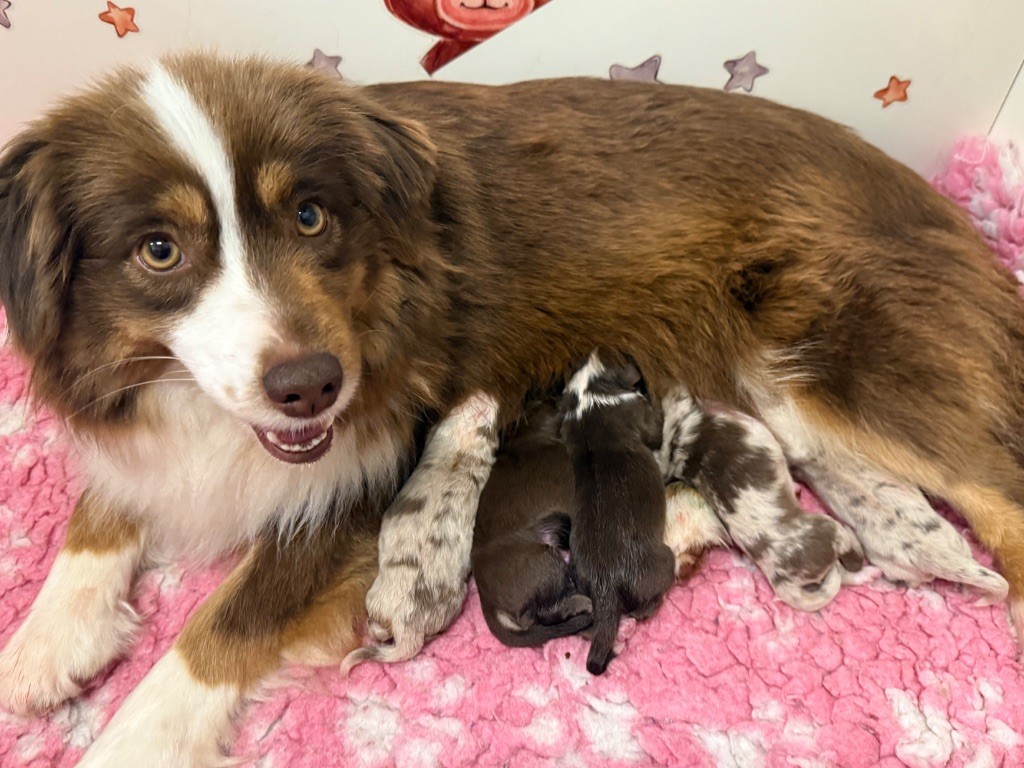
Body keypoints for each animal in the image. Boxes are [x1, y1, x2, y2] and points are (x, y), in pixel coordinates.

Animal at [344, 393, 499, 671]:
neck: (462, 448)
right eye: (487, 427)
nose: (487, 396)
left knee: (379, 630)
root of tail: (408, 626)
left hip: (377, 600)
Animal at [557, 352, 675, 675]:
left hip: (581, 581)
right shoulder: (642, 416)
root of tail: (606, 586)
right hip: (662, 562)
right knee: (646, 605)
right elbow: (656, 424)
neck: (588, 393)